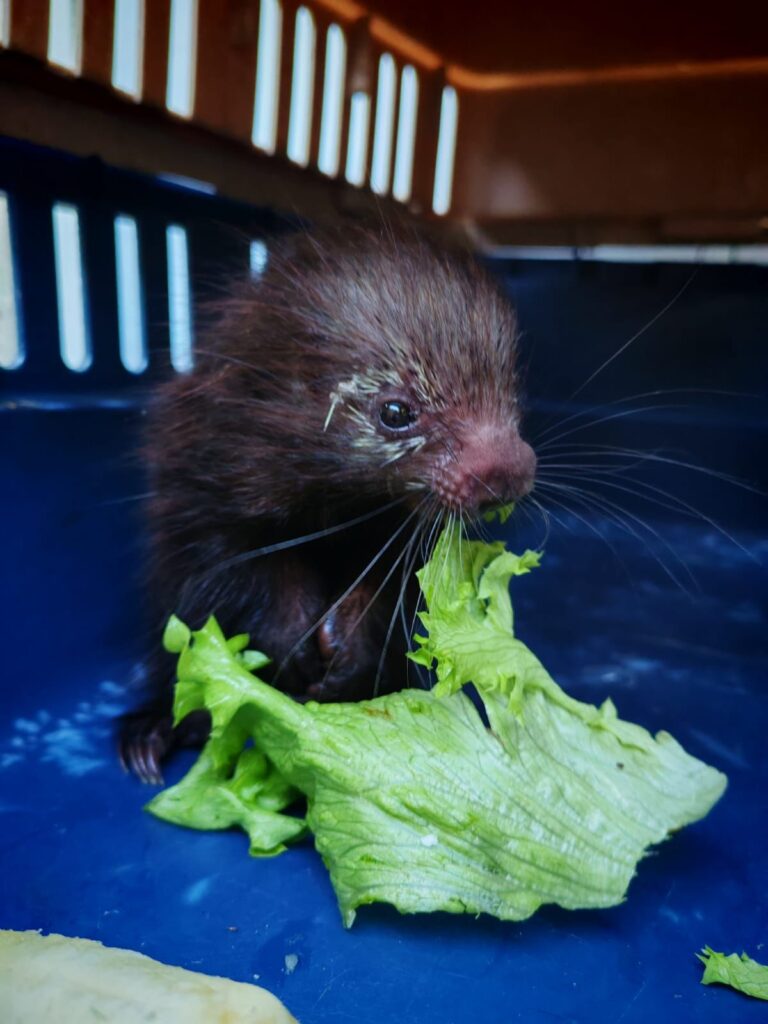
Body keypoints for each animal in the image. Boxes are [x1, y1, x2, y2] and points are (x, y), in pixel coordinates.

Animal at [119, 225, 537, 782]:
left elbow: (392, 590)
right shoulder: (203, 493)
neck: (337, 497)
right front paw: (295, 646)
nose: (510, 473)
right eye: (395, 413)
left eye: (513, 395)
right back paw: (148, 737)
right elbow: (236, 573)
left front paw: (345, 651)